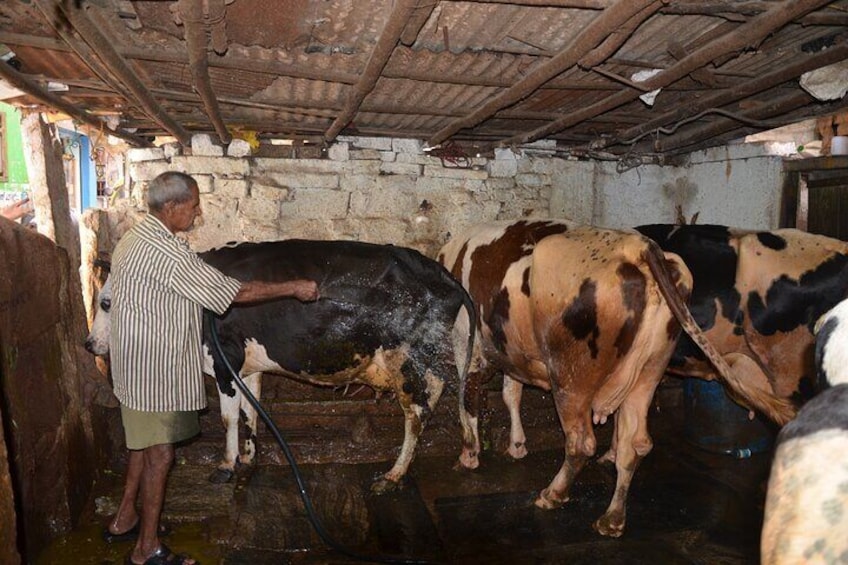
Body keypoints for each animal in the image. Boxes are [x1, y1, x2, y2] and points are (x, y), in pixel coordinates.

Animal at [86, 240, 476, 492]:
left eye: (106, 302)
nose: (89, 344)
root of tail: (443, 273)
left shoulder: (224, 358)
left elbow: (227, 417)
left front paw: (225, 466)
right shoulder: (248, 366)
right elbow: (250, 412)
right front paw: (248, 460)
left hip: (405, 357)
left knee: (417, 412)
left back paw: (393, 476)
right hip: (438, 354)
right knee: (452, 395)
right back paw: (467, 456)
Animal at [438, 218, 796, 536]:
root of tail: (640, 247)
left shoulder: (468, 345)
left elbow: (468, 399)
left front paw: (469, 455)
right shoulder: (513, 351)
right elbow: (511, 392)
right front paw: (516, 445)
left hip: (571, 378)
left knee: (580, 443)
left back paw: (553, 494)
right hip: (649, 372)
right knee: (635, 443)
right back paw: (612, 518)